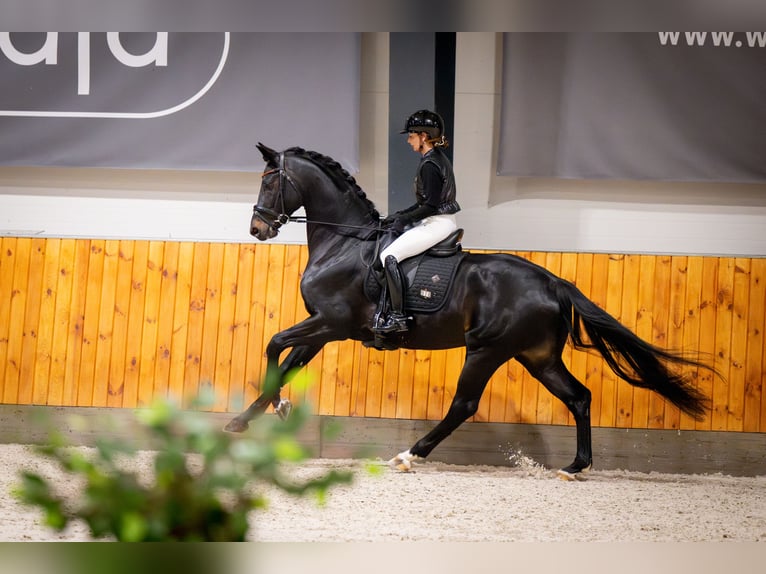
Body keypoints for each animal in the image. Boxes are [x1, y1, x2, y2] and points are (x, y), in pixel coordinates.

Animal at [224, 143, 714, 480]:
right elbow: (286, 363)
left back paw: (409, 455)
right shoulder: (324, 330)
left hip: (486, 350)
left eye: (269, 180)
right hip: (536, 356)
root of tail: (551, 281)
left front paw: (268, 411)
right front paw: (255, 415)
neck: (345, 244)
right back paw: (575, 467)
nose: (257, 228)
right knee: (578, 397)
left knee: (464, 403)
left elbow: (274, 345)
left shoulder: (329, 323)